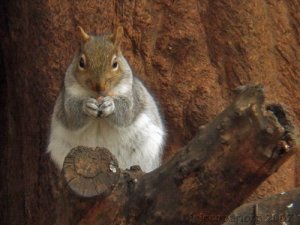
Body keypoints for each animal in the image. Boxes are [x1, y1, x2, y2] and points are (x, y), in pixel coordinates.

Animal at [48, 25, 168, 172]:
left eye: (115, 63)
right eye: (81, 62)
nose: (99, 86)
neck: (98, 95)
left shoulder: (130, 93)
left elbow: (126, 114)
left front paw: (110, 105)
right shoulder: (68, 94)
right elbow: (72, 117)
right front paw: (86, 106)